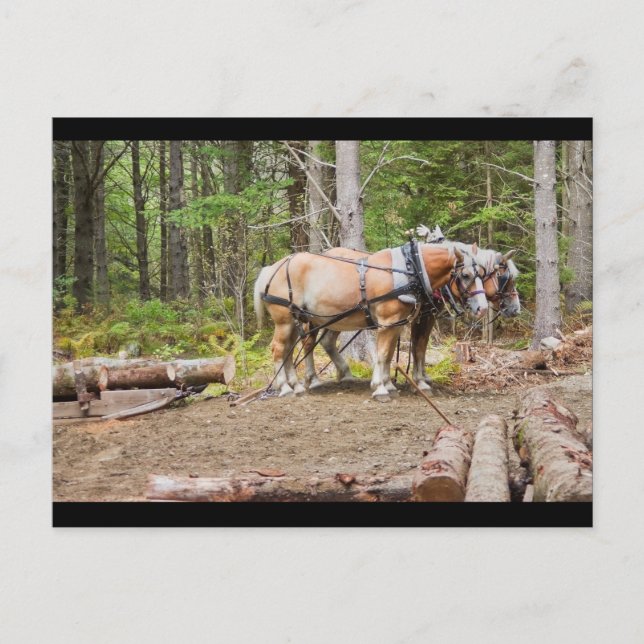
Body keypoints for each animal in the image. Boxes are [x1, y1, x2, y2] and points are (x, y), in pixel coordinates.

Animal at [254, 242, 488, 401]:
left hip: (298, 319)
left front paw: (388, 384)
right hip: (285, 320)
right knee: (279, 349)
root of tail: (272, 268)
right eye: (466, 275)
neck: (410, 269)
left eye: (482, 274)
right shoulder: (388, 322)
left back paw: (297, 386)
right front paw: (380, 387)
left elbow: (389, 354)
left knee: (291, 349)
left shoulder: (396, 323)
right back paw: (285, 387)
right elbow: (383, 353)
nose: (483, 308)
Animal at [300, 242, 520, 392]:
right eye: (504, 278)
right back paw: (313, 379)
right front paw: (419, 381)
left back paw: (345, 374)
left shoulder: (420, 317)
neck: (419, 273)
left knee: (327, 341)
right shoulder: (423, 318)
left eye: (482, 274)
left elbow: (413, 348)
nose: (516, 309)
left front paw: (412, 378)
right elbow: (418, 347)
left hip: (337, 318)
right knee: (309, 341)